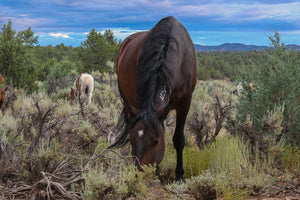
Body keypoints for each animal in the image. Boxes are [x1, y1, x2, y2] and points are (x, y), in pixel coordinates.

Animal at [109, 16, 197, 181]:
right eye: (131, 139)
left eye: (156, 141)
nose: (139, 173)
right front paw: (157, 172)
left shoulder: (185, 102)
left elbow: (178, 139)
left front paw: (179, 176)